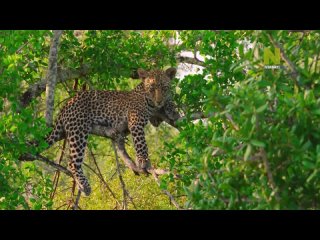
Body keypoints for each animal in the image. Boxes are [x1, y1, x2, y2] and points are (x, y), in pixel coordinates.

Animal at [46, 67, 179, 195]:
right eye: (151, 88)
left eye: (164, 88)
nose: (159, 101)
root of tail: (67, 104)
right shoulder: (135, 121)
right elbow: (141, 143)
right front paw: (143, 161)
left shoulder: (154, 119)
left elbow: (167, 104)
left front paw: (172, 109)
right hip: (78, 130)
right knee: (72, 163)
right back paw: (85, 185)